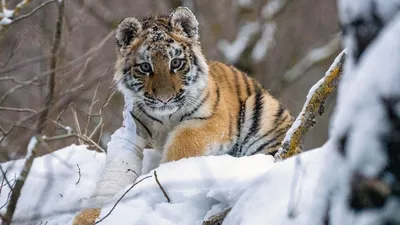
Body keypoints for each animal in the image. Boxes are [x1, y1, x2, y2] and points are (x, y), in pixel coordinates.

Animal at [73, 6, 296, 224]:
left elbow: (183, 141)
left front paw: (166, 177)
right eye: (145, 67)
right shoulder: (131, 132)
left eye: (176, 63)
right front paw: (89, 215)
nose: (165, 99)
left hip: (262, 114)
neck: (165, 118)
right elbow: (115, 171)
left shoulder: (211, 120)